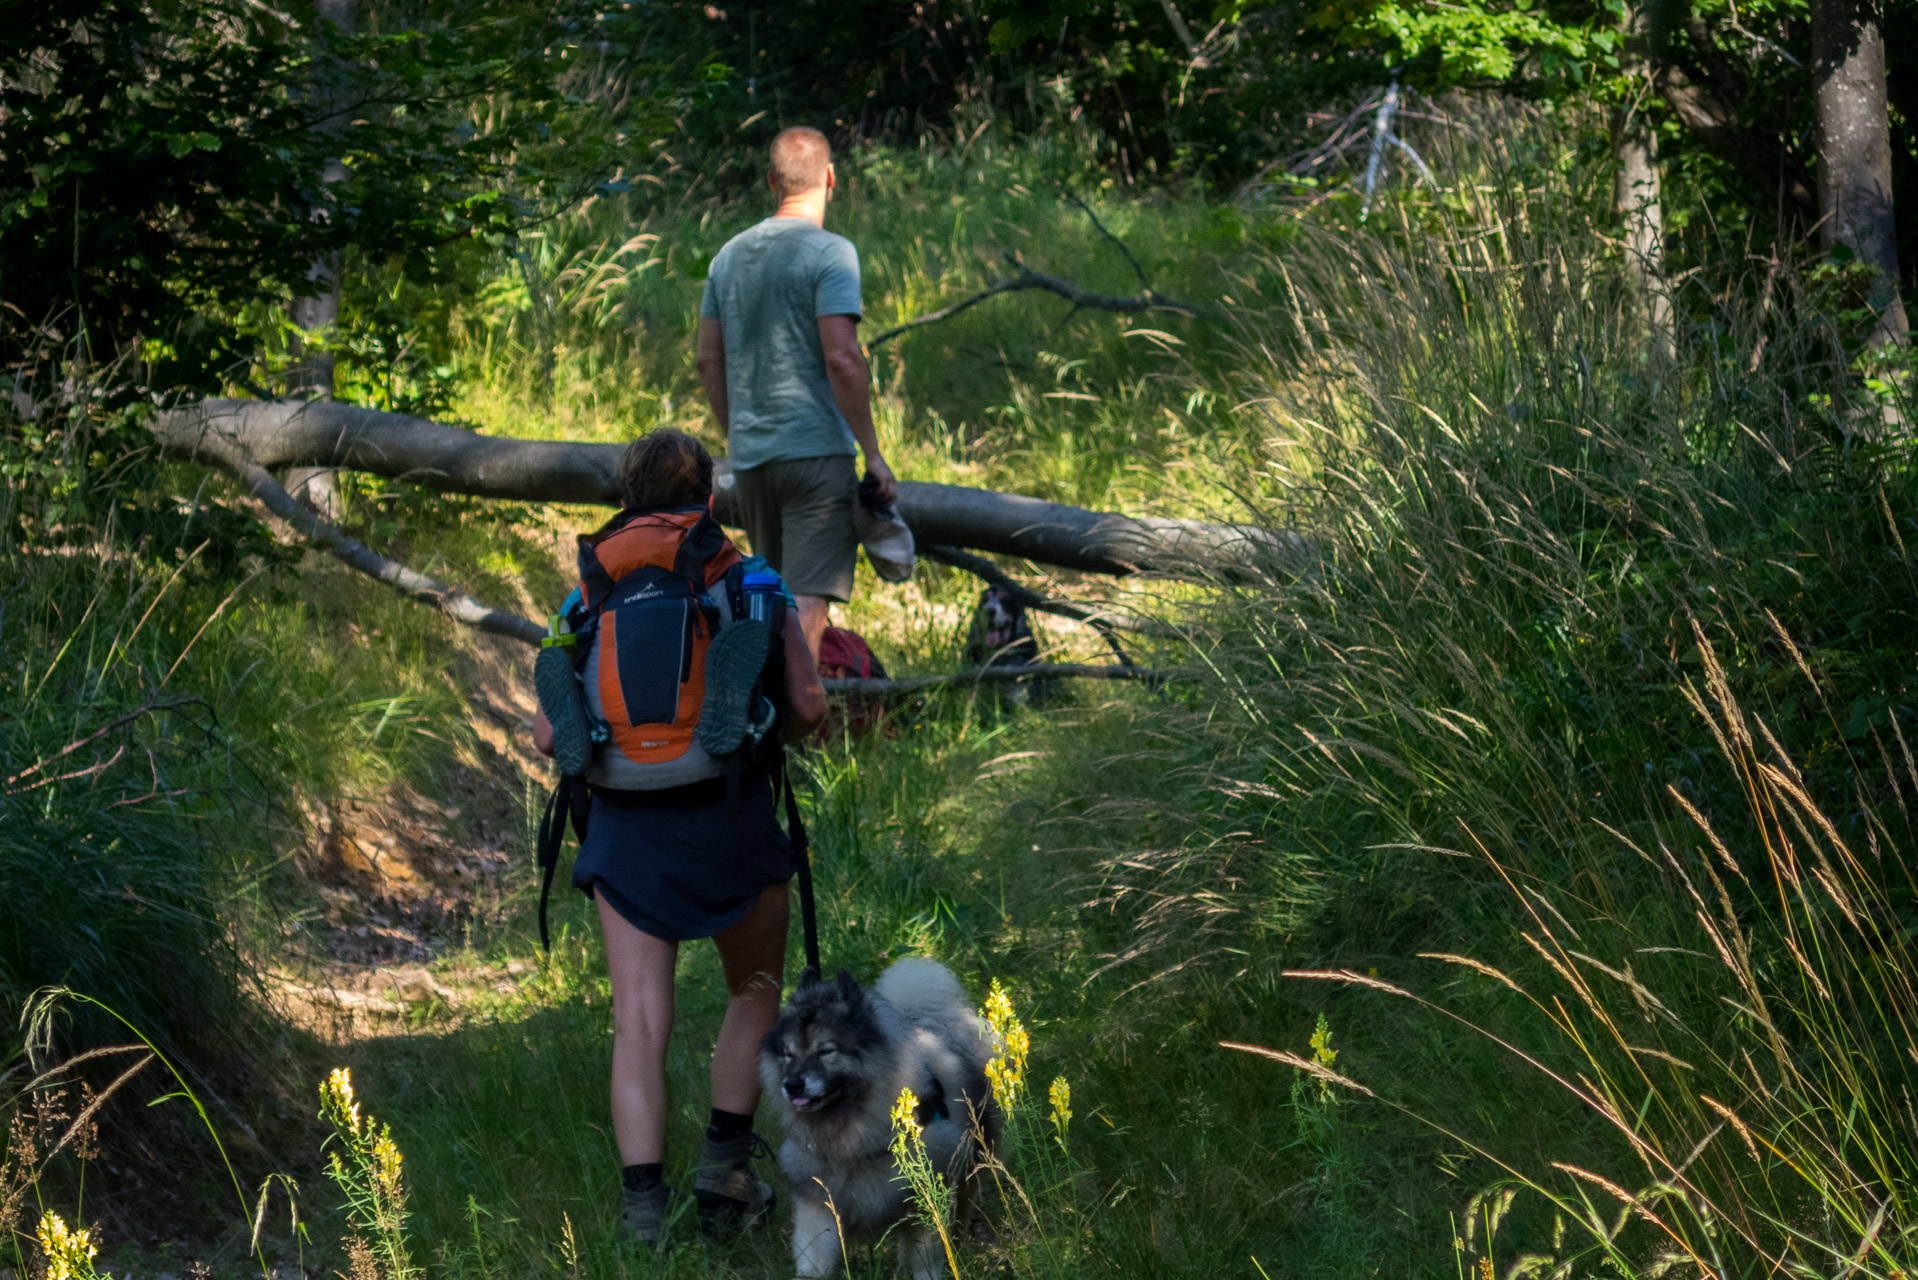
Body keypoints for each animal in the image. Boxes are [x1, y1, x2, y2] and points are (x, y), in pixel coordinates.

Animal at [763, 959, 1005, 1280]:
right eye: (788, 1054)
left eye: (826, 1050)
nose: (792, 1085)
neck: (853, 1137)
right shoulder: (817, 1197)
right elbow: (814, 1255)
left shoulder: (924, 1190)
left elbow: (925, 1257)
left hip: (975, 1158)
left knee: (965, 1202)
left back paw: (959, 1242)